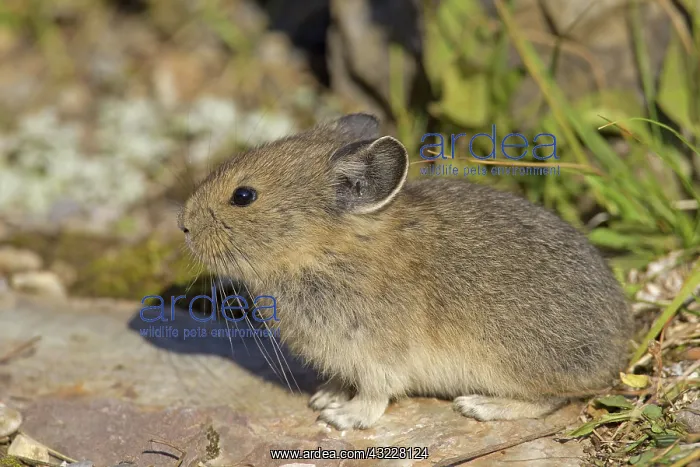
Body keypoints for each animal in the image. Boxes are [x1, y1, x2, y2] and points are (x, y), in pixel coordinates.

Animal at [178, 113, 633, 430]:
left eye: (243, 195)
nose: (182, 224)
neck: (326, 251)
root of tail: (618, 349)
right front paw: (327, 397)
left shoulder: (377, 355)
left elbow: (376, 393)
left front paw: (343, 417)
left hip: (511, 360)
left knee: (551, 399)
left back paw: (480, 405)